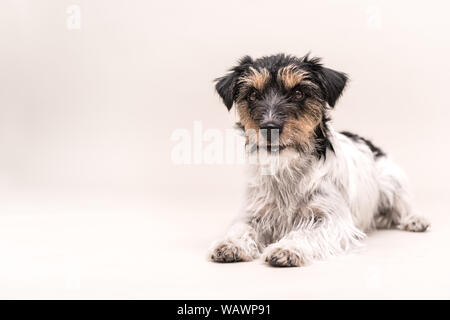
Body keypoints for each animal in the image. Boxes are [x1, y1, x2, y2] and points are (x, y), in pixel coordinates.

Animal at [207, 53, 428, 266]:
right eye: (253, 95)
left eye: (298, 93)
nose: (270, 128)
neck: (287, 166)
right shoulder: (254, 212)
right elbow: (241, 228)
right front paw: (231, 244)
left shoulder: (331, 219)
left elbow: (306, 232)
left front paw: (287, 248)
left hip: (392, 182)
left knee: (404, 206)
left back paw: (416, 220)